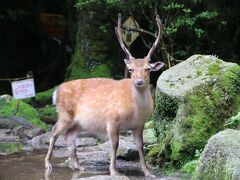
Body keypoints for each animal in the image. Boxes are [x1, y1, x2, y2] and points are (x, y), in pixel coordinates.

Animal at [44, 14, 165, 177]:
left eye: (148, 69)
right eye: (131, 69)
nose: (139, 81)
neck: (135, 111)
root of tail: (56, 91)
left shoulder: (140, 124)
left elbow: (140, 145)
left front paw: (148, 172)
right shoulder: (112, 119)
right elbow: (115, 144)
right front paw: (114, 171)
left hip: (80, 123)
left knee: (69, 136)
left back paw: (78, 167)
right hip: (65, 114)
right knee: (54, 131)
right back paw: (48, 164)